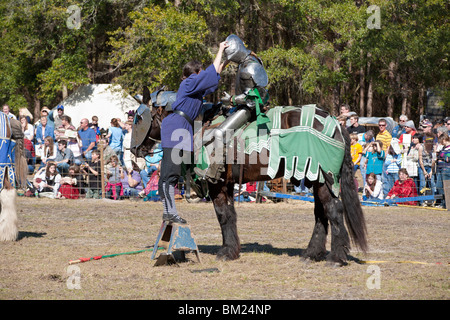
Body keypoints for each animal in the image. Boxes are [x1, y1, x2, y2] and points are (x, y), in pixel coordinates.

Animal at [132, 87, 368, 264]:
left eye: (138, 118)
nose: (134, 149)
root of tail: (335, 123)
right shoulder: (226, 184)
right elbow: (230, 215)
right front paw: (231, 249)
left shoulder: (216, 184)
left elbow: (223, 215)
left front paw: (226, 252)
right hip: (315, 178)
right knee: (320, 213)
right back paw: (312, 254)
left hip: (324, 178)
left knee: (333, 210)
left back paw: (336, 257)